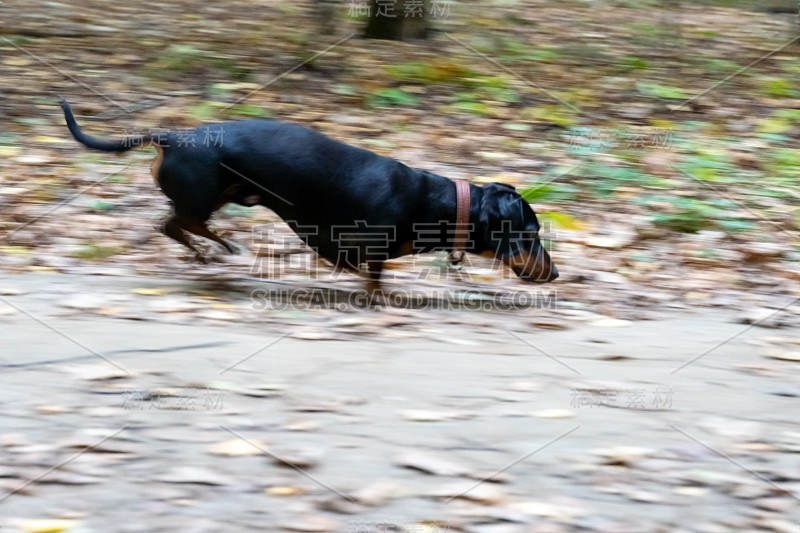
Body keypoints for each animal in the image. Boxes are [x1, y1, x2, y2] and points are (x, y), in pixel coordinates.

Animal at [59, 96, 560, 286]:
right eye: (531, 233)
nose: (556, 274)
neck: (439, 203)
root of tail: (174, 137)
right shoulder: (363, 249)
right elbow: (372, 279)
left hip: (218, 197)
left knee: (173, 226)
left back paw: (211, 252)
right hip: (203, 198)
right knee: (177, 223)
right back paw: (223, 248)